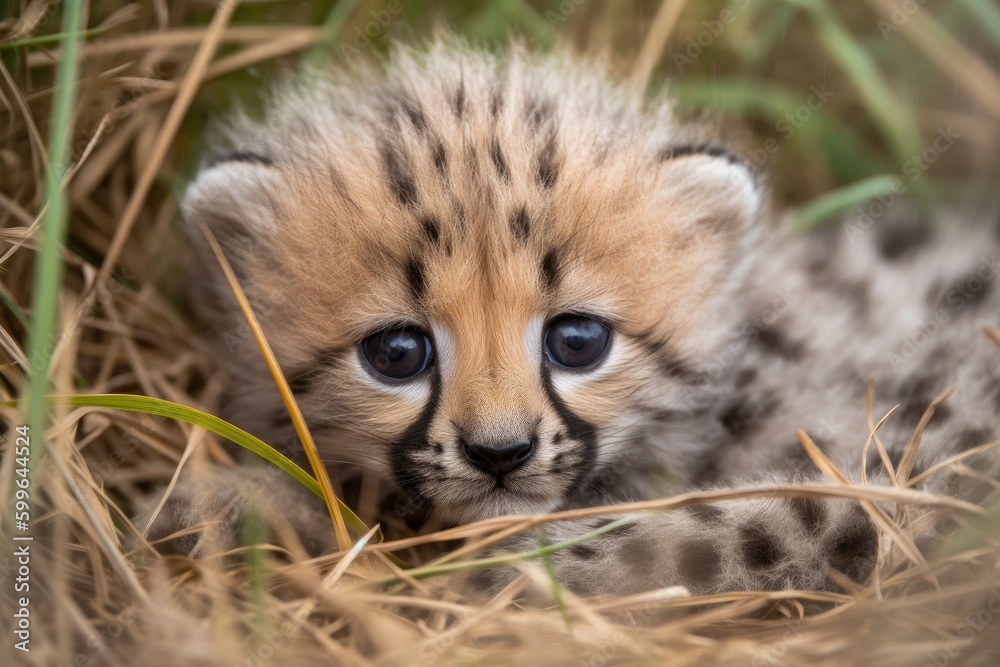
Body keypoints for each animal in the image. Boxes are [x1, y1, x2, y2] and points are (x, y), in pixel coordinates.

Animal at [139, 37, 1000, 599]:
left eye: (577, 341)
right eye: (397, 351)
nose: (499, 452)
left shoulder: (920, 449)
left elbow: (761, 522)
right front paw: (228, 503)